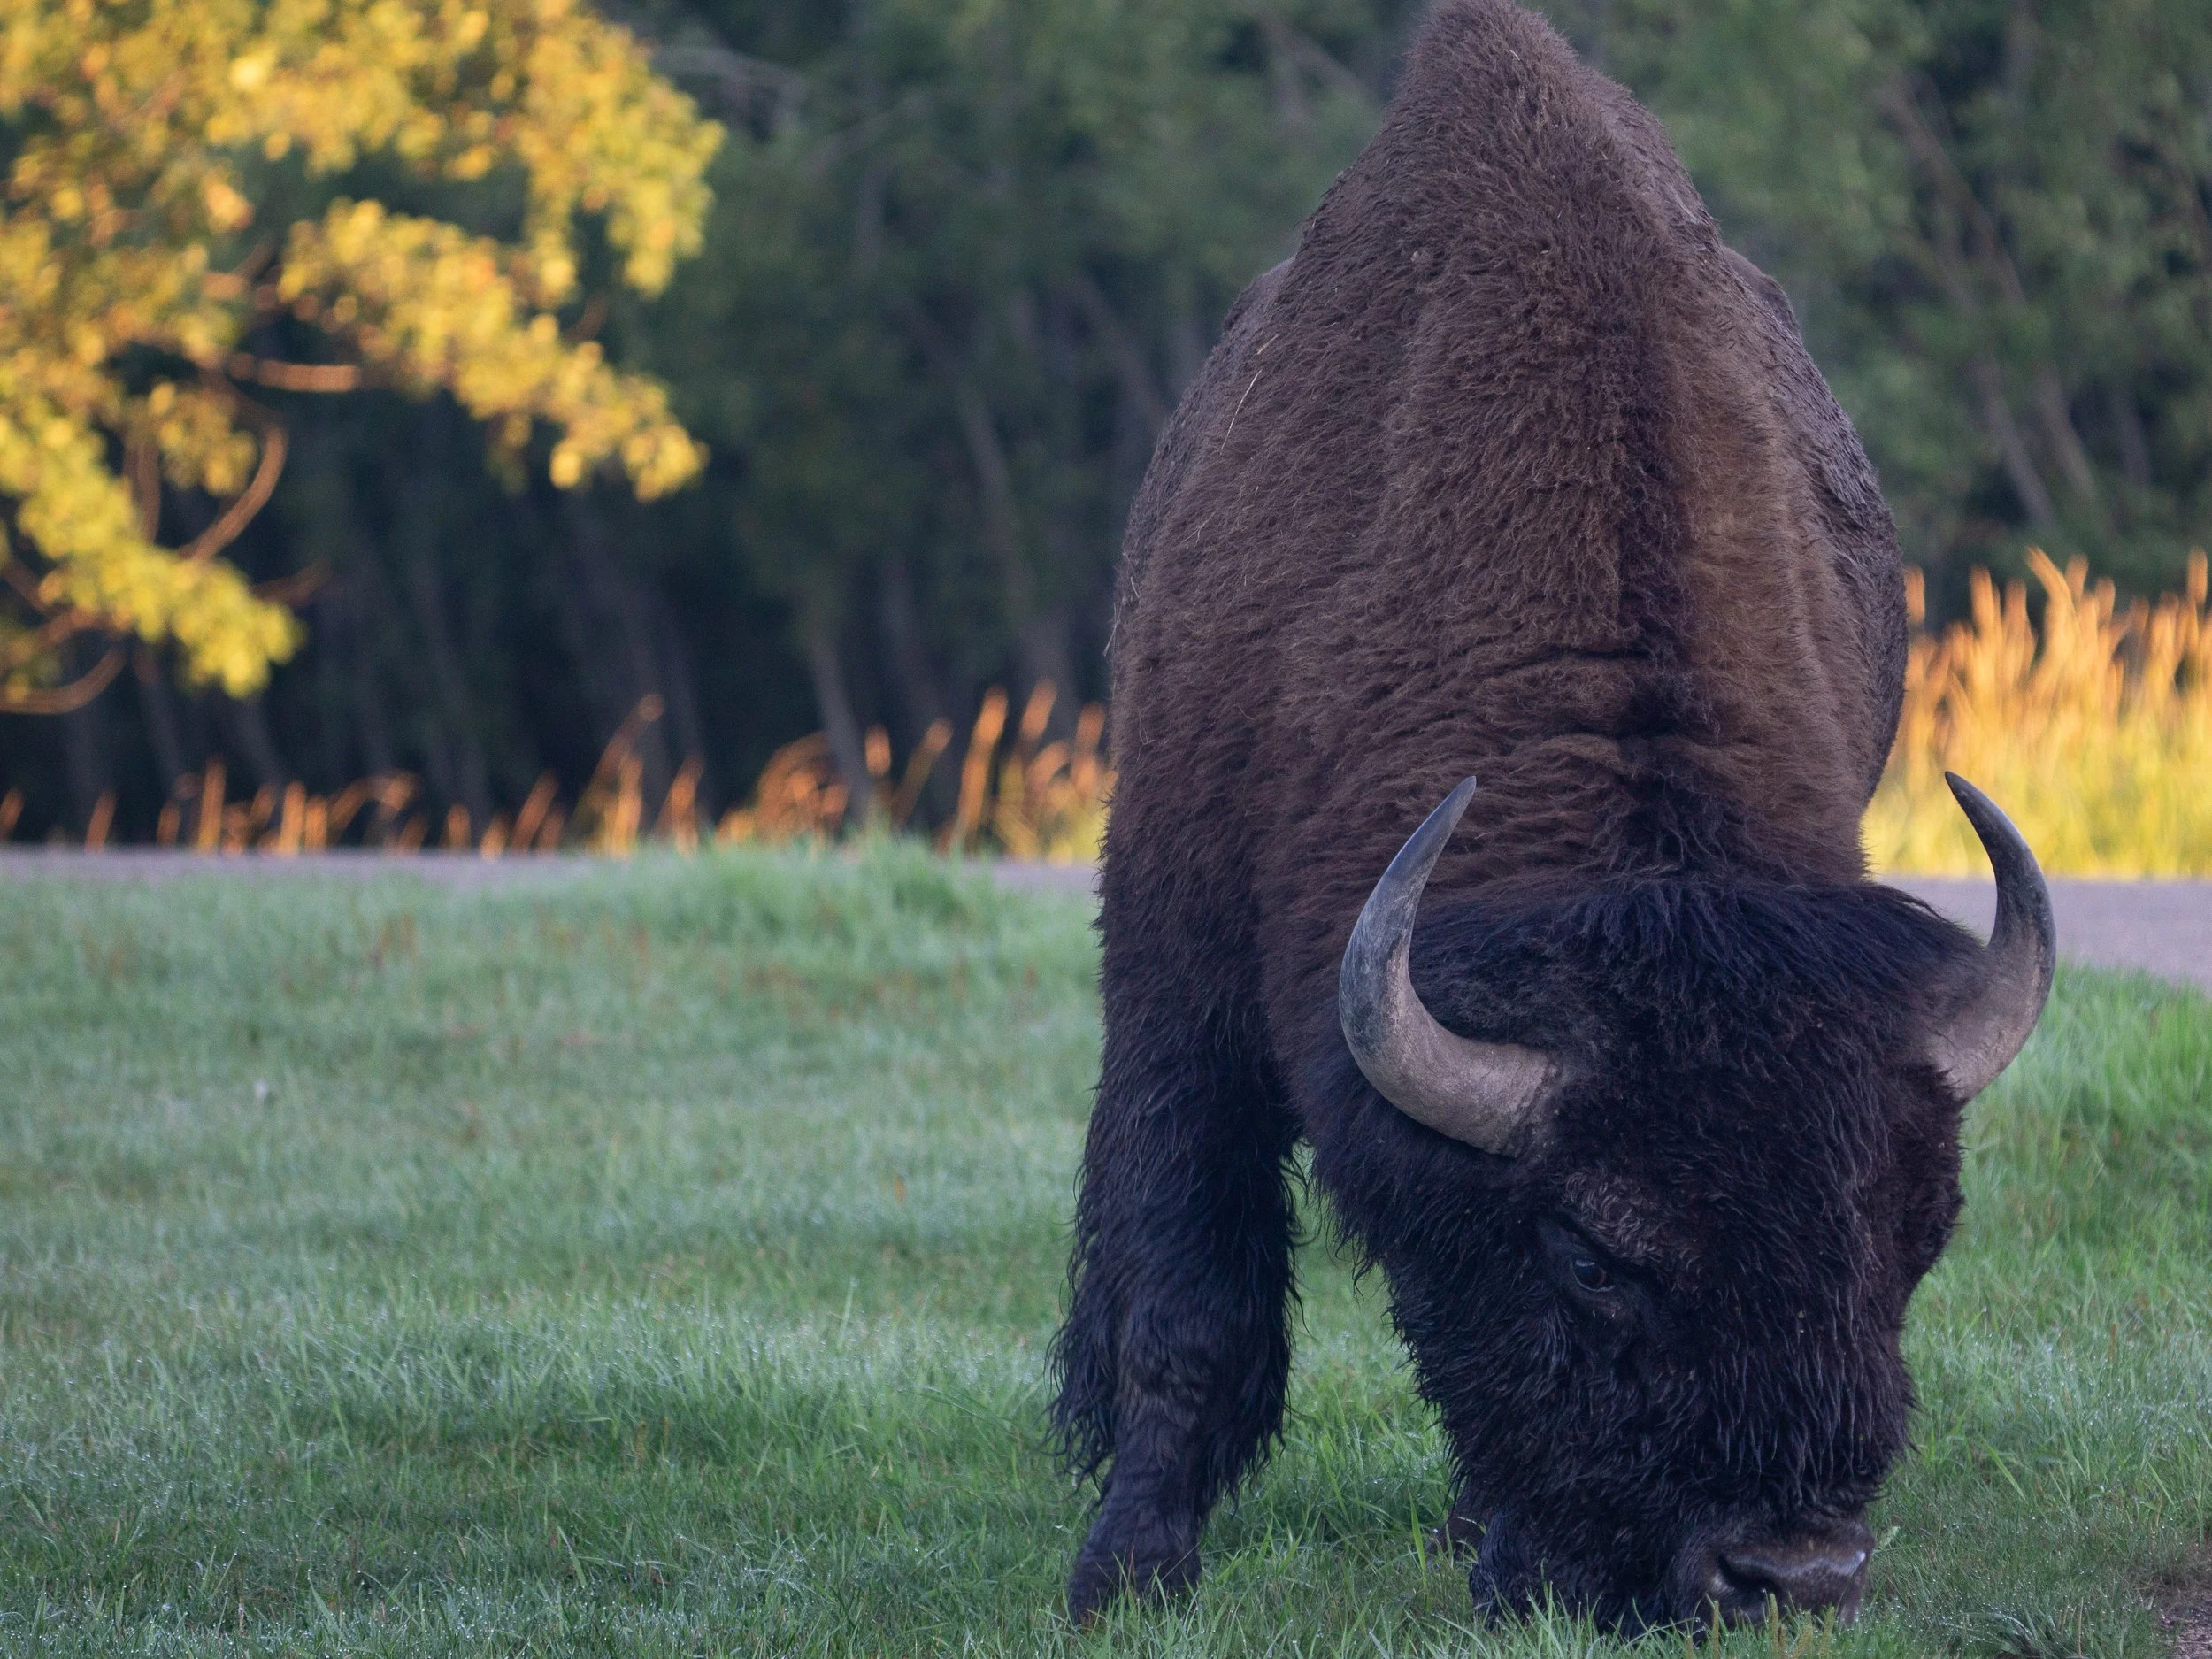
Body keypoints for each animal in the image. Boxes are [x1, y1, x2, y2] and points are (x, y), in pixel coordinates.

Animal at [1050, 0, 2054, 1631]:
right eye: (1593, 1252)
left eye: (1918, 1231)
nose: (1792, 1567)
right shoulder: (1173, 961)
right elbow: (1191, 1286)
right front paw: (1127, 1574)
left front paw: (1506, 1552)